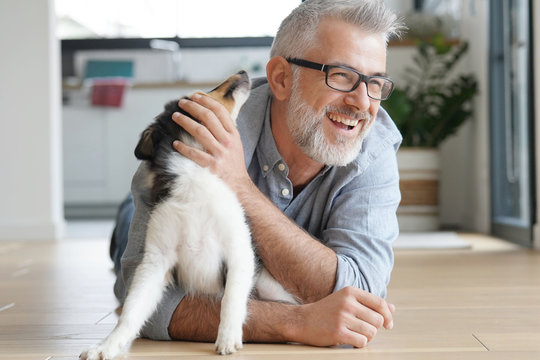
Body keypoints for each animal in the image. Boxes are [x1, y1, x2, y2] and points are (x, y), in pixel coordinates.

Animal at [81, 71, 296, 360]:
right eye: (200, 93)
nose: (243, 72)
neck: (194, 174)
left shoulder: (238, 250)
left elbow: (230, 298)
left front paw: (228, 337)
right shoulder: (155, 261)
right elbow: (131, 311)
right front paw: (106, 346)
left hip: (270, 286)